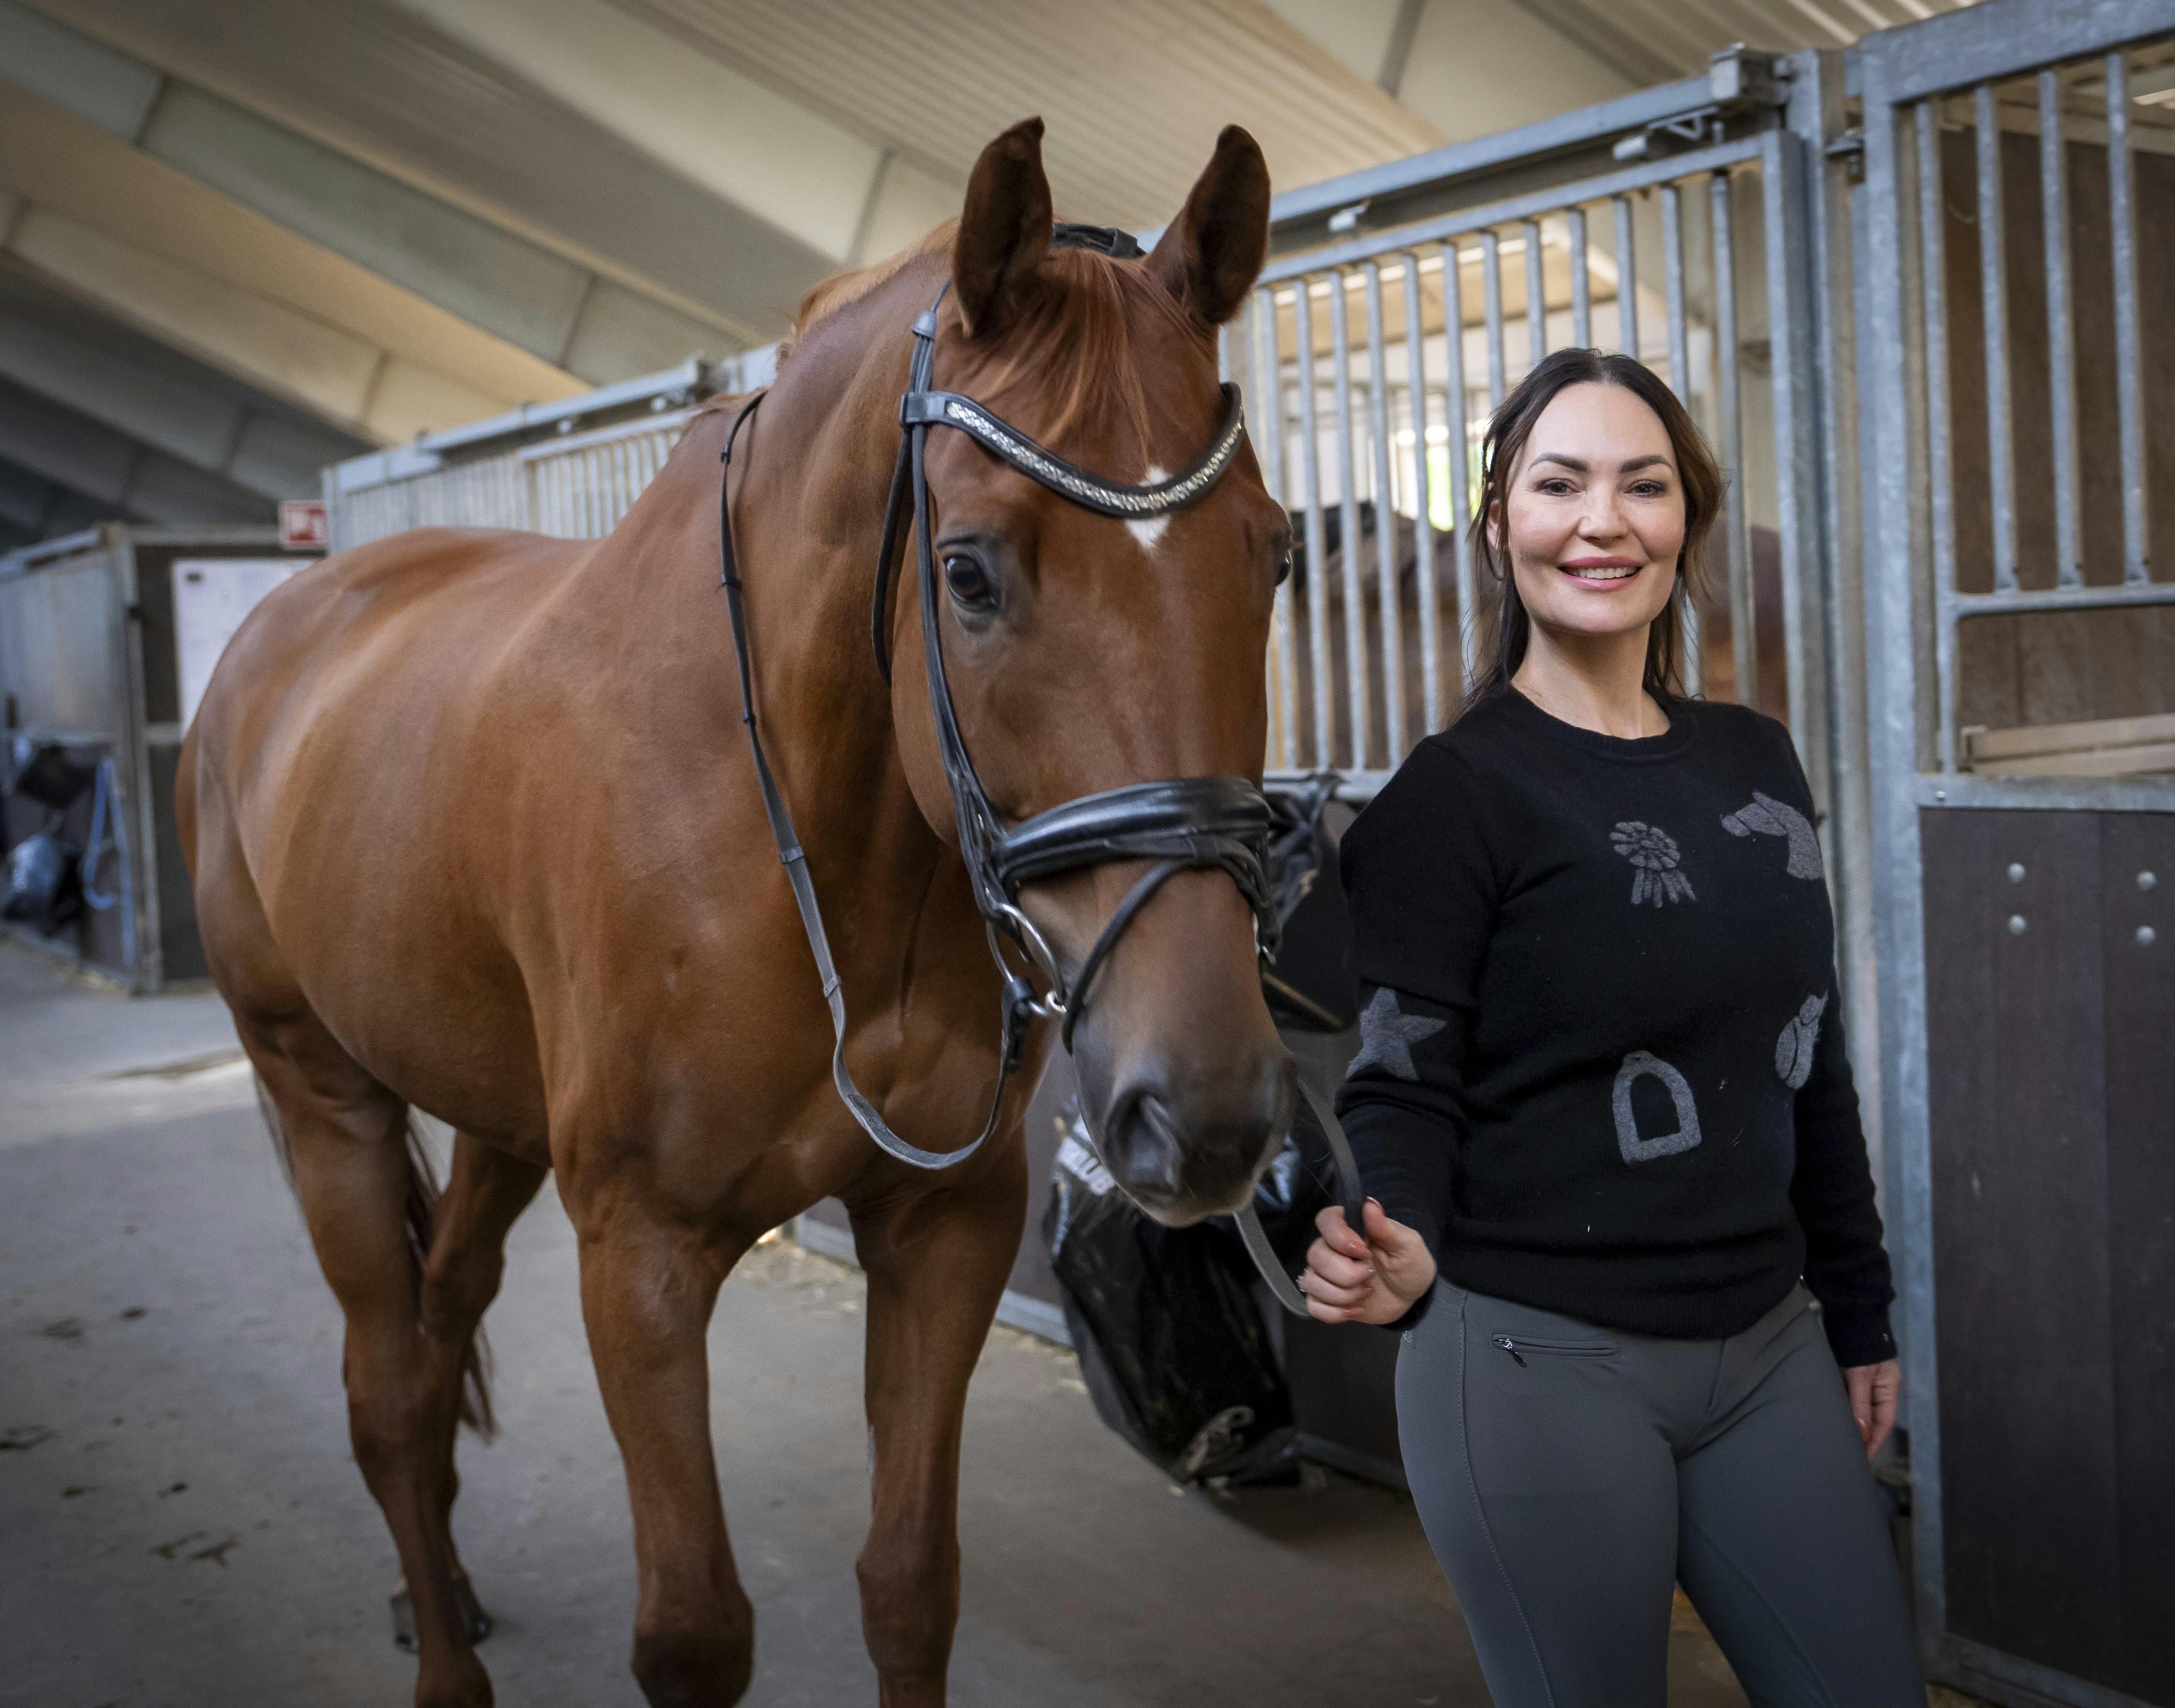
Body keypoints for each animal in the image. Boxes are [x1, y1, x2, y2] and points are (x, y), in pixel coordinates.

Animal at [178, 123, 1288, 1706]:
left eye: (1274, 553)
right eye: (967, 571)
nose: (1204, 1112)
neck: (819, 859)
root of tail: (282, 624)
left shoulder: (942, 1224)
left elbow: (909, 1583)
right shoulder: (641, 1255)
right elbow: (695, 1630)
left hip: (500, 1121)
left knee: (441, 1325)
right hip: (321, 1088)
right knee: (386, 1382)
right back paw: (445, 1661)